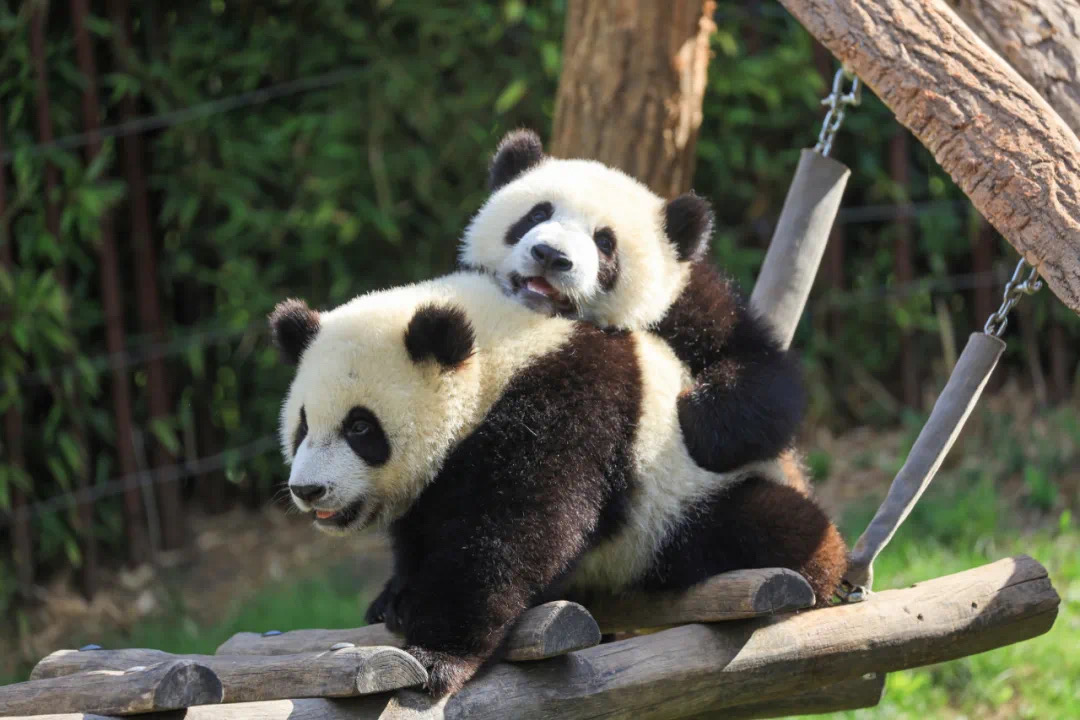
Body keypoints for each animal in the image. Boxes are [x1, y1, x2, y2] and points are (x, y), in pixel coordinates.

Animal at [274, 272, 846, 699]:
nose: (308, 490)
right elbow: (427, 527)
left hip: (684, 503)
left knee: (770, 525)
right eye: (302, 424)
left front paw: (436, 655)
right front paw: (396, 598)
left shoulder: (565, 402)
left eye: (360, 427)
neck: (501, 352)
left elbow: (517, 530)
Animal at [455, 129, 803, 479]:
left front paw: (698, 414)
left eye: (605, 242)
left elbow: (762, 370)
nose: (551, 256)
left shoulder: (692, 305)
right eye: (537, 214)